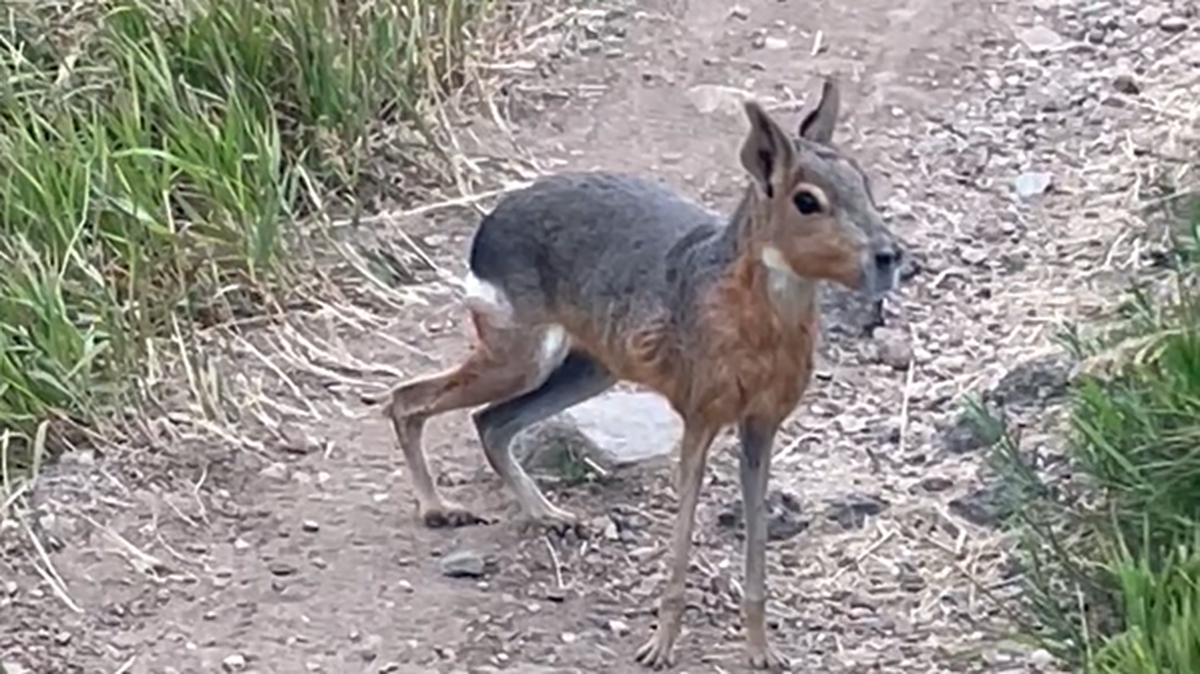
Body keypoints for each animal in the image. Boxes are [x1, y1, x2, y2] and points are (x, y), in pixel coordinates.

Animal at [372, 79, 903, 670]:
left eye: (863, 181)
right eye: (807, 200)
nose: (889, 257)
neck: (757, 322)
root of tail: (490, 223)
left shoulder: (761, 425)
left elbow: (757, 536)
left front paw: (763, 650)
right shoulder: (700, 419)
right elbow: (683, 533)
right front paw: (660, 647)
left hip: (586, 369)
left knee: (491, 422)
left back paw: (548, 514)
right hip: (520, 357)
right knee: (408, 398)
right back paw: (438, 508)